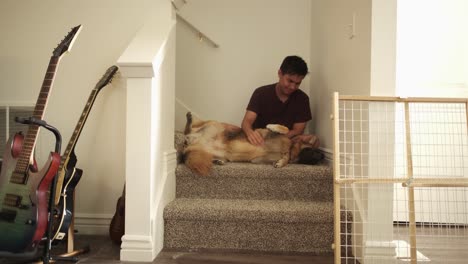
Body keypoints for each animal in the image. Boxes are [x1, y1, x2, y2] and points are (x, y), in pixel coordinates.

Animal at [182, 111, 322, 175]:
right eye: (313, 150)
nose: (322, 156)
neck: (289, 148)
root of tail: (192, 142)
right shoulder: (269, 134)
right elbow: (285, 128)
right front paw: (273, 126)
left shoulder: (259, 160)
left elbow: (285, 159)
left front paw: (281, 162)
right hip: (215, 125)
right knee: (188, 130)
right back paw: (189, 119)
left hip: (214, 151)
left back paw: (218, 161)